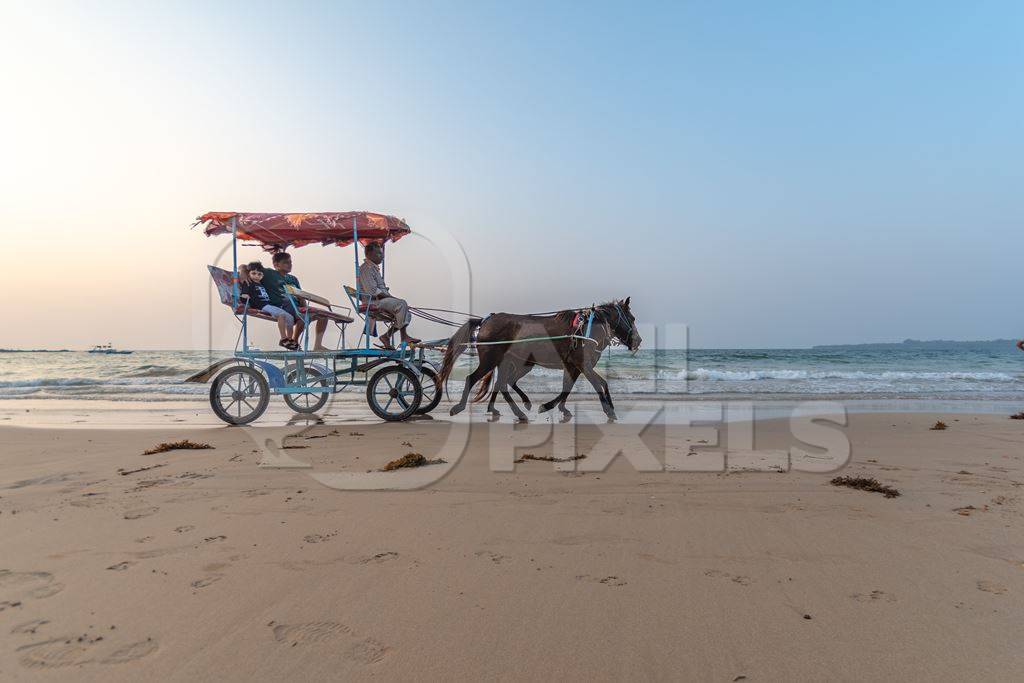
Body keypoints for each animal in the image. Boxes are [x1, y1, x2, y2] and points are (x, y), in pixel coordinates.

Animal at [438, 299, 638, 421]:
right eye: (632, 318)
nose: (638, 341)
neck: (585, 329)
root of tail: (486, 321)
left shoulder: (573, 366)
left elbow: (569, 387)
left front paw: (559, 408)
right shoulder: (582, 365)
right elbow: (598, 384)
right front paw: (609, 410)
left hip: (513, 363)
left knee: (502, 384)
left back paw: (516, 409)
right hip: (490, 360)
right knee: (473, 379)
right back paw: (459, 407)